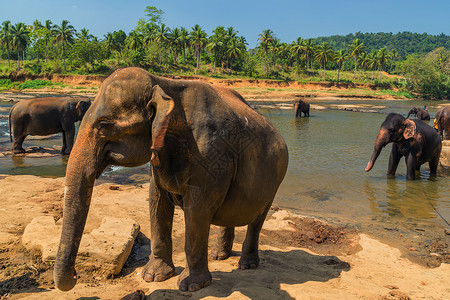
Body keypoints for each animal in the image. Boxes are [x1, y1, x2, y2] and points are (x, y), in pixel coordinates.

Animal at [54, 67, 288, 292]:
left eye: (103, 126)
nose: (75, 276)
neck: (164, 85)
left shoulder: (211, 154)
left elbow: (197, 209)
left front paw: (191, 285)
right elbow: (156, 201)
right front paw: (154, 276)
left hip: (276, 179)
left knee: (257, 219)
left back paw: (247, 264)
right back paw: (218, 256)